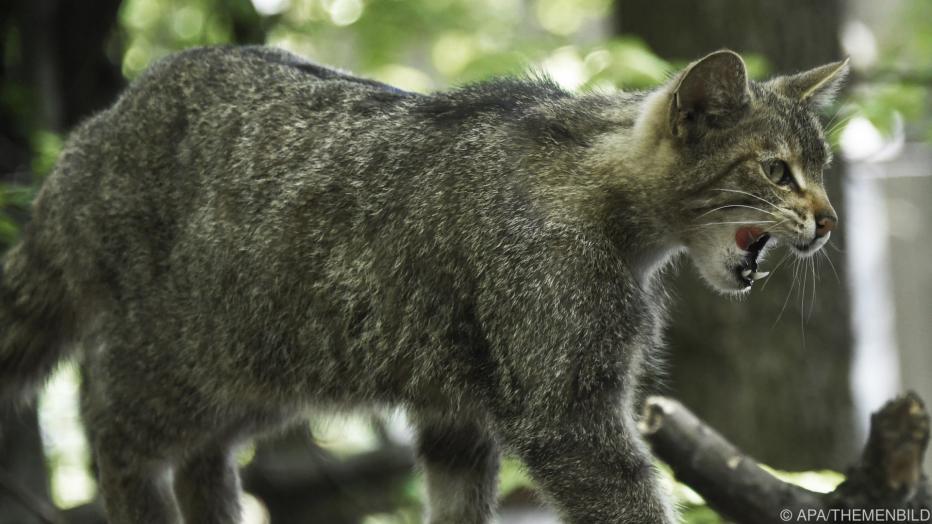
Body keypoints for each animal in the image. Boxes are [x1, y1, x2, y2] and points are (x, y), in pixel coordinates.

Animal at [0, 47, 844, 520]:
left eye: (824, 167)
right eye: (777, 172)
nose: (831, 219)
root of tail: (91, 137)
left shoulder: (455, 417)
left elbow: (457, 504)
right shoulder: (567, 414)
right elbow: (629, 500)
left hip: (261, 375)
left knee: (202, 458)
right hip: (180, 362)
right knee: (112, 429)